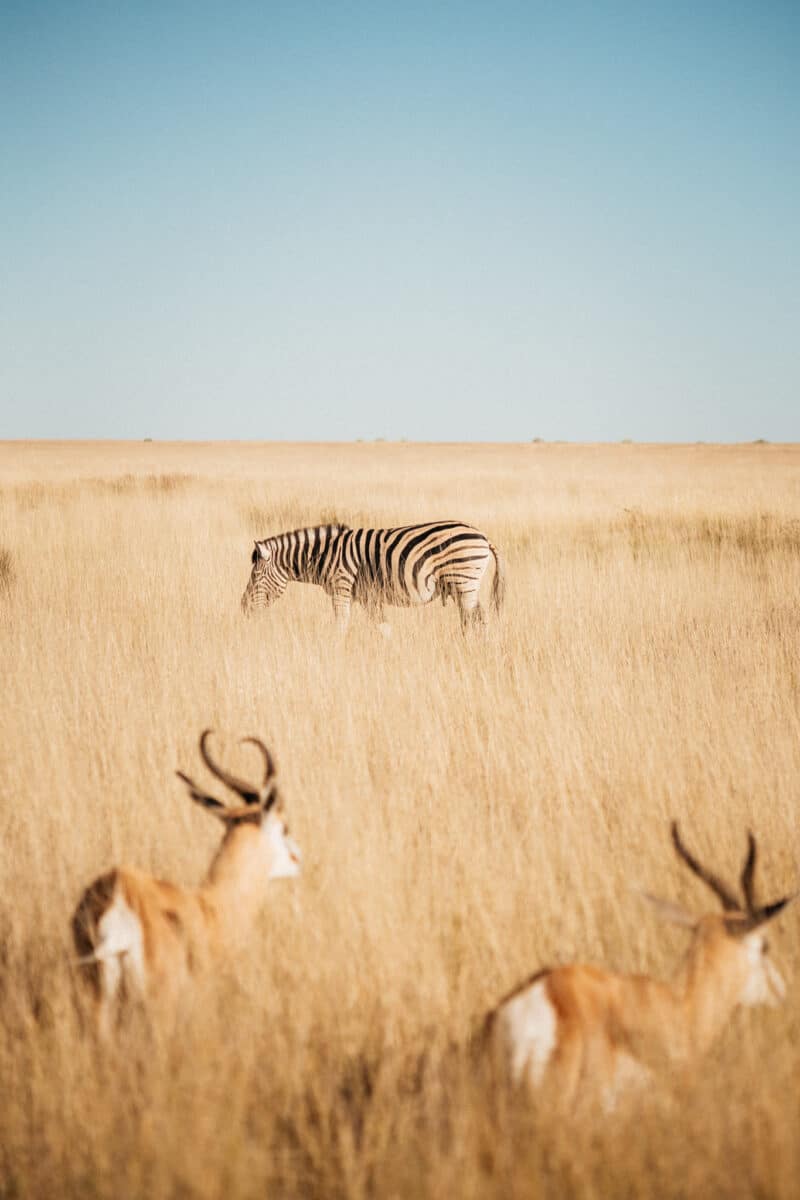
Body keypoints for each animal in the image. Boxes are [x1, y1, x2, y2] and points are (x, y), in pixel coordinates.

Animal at [240, 521, 505, 631]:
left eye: (255, 576)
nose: (243, 608)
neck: (325, 554)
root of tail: (482, 535)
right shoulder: (369, 596)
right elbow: (383, 627)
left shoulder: (342, 586)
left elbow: (340, 624)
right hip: (465, 585)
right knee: (477, 618)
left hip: (464, 580)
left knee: (474, 619)